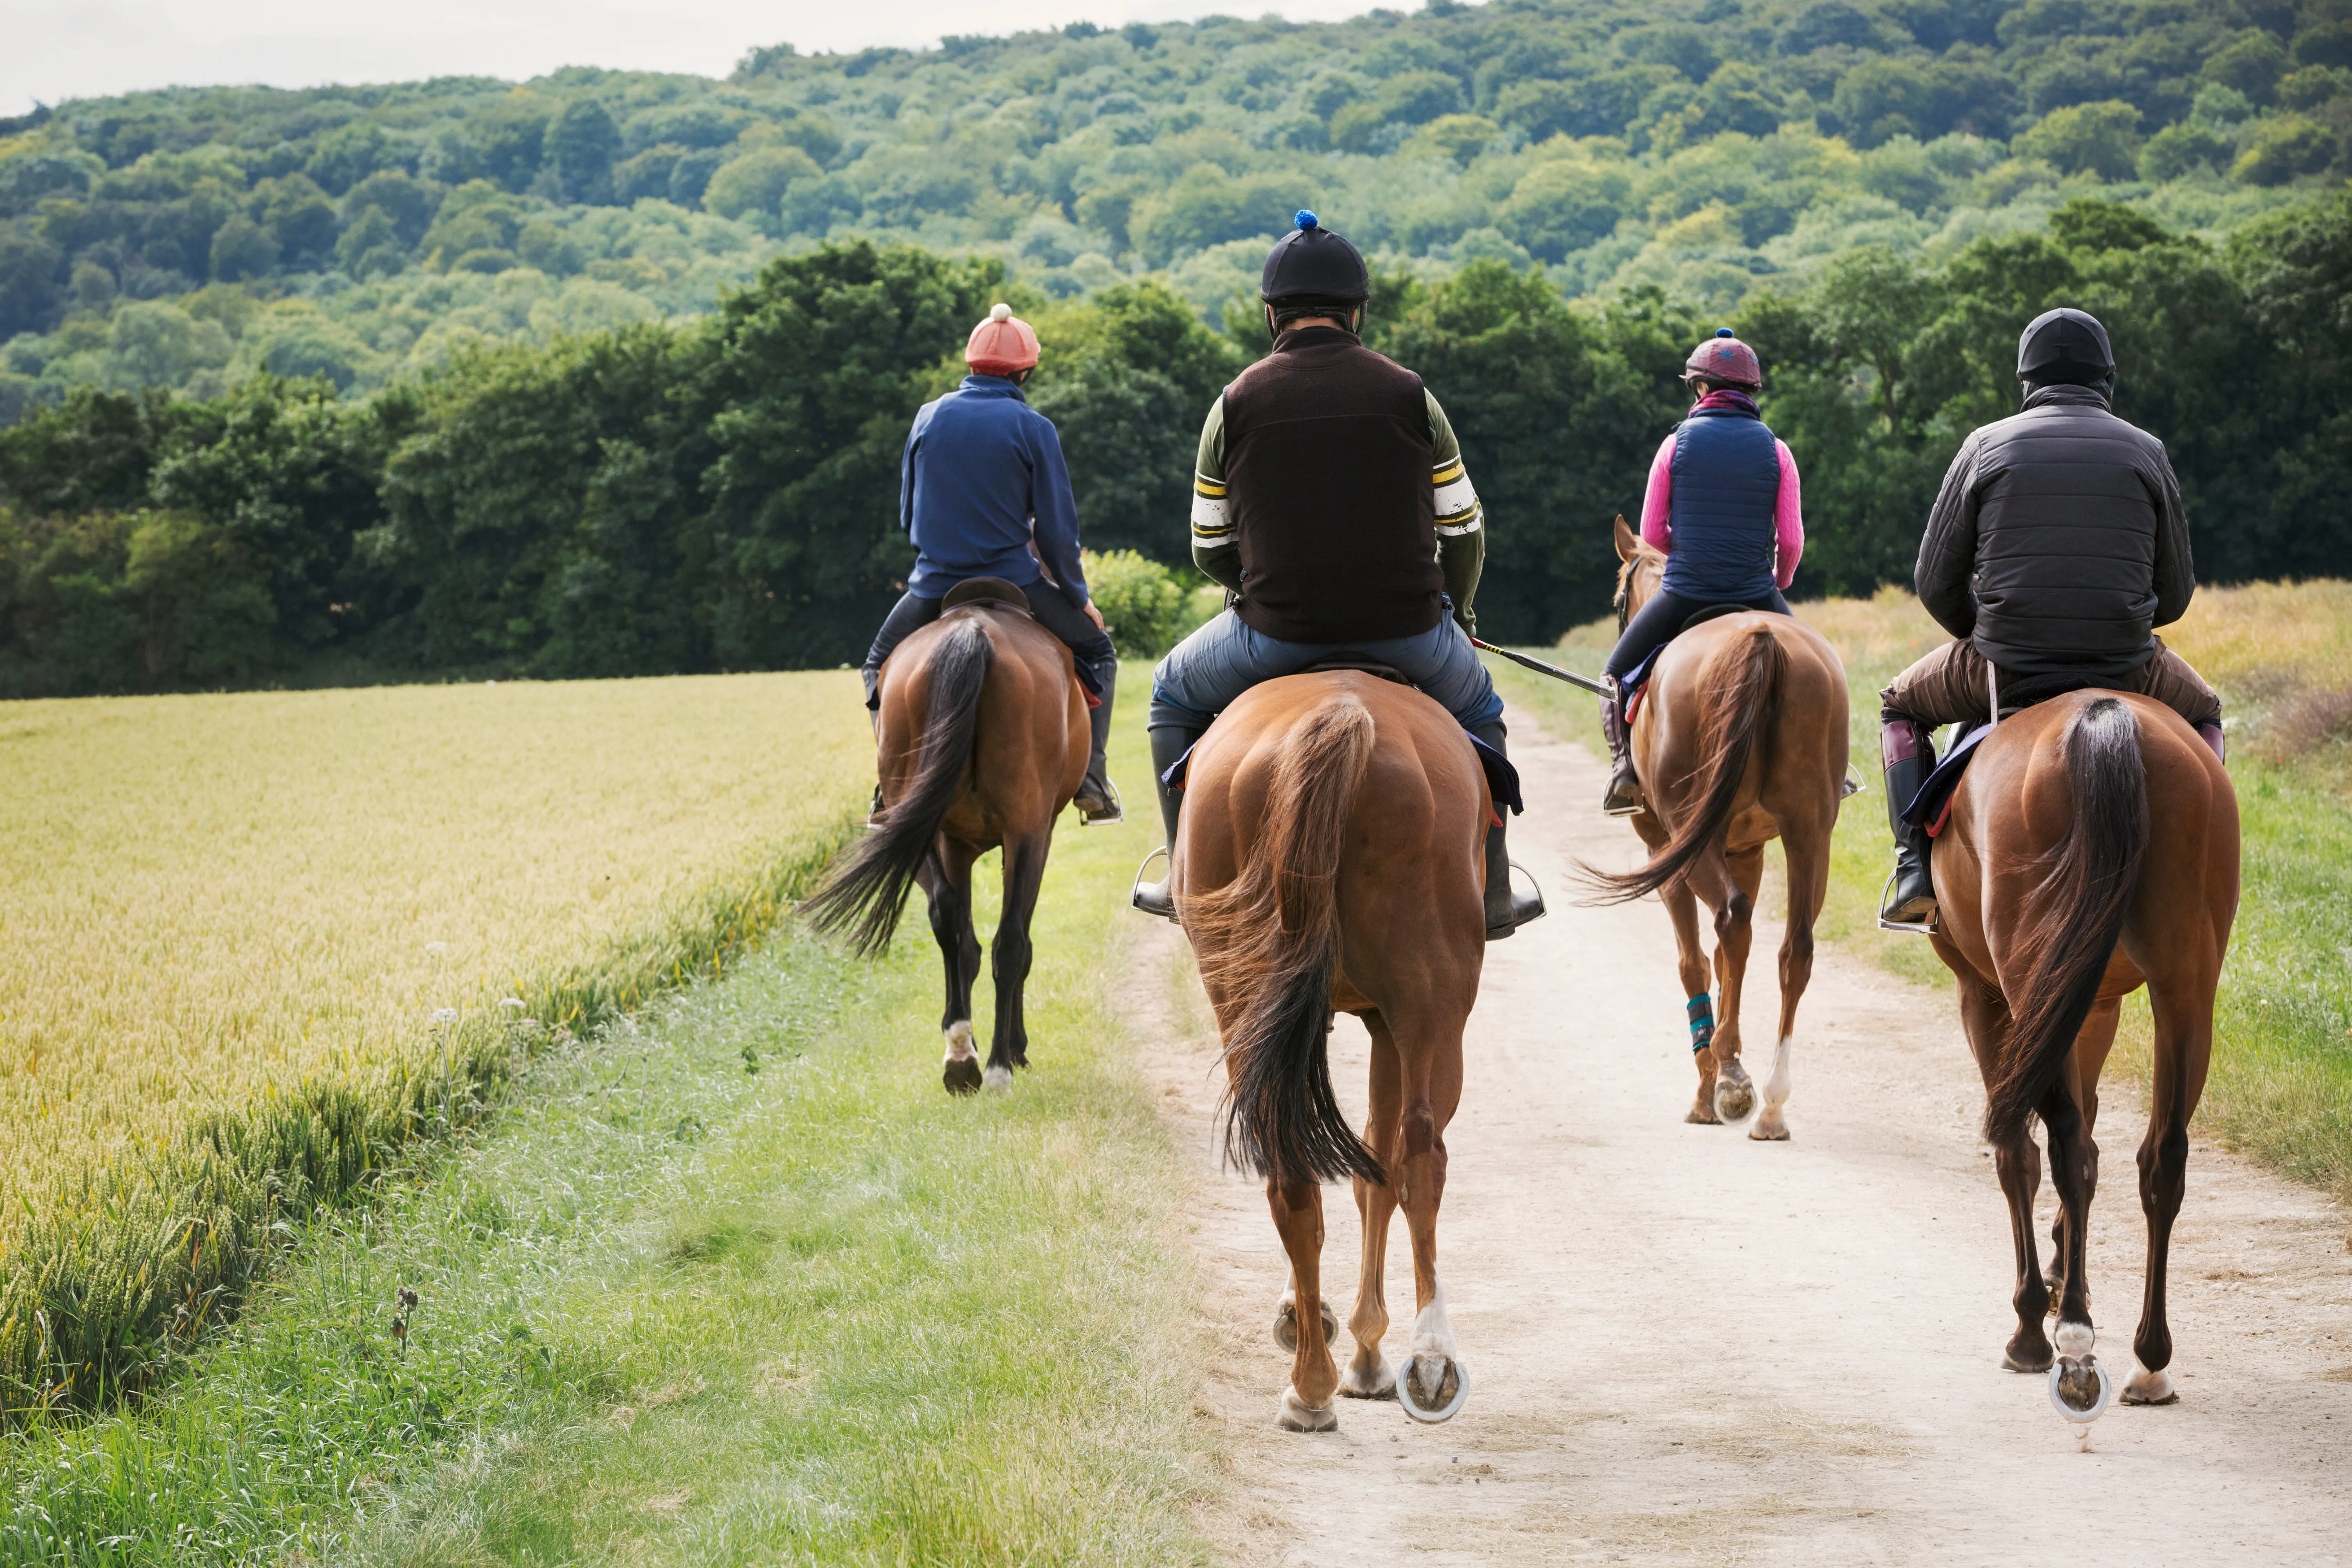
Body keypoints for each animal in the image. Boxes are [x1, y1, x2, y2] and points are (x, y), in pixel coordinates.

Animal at [801, 577, 1089, 1094]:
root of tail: (971, 633)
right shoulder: (1037, 835)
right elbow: (1016, 942)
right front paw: (1014, 1048)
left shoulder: (954, 843)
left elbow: (964, 942)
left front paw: (967, 1044)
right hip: (1025, 826)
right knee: (1008, 941)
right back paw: (996, 1067)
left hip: (922, 816)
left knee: (947, 917)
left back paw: (960, 1057)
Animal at [1176, 669, 1488, 1432]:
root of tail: (1340, 712)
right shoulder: (1379, 1021)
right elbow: (1377, 1169)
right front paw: (1363, 1346)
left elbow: (1367, 1170)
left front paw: (1327, 1326)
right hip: (1428, 1011)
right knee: (1418, 1154)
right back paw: (1425, 1358)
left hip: (1248, 996)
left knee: (1302, 1165)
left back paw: (1314, 1383)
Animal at [1590, 516, 1851, 1138]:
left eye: (1617, 598)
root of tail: (1758, 636)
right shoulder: (1747, 849)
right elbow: (1733, 955)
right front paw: (1733, 1070)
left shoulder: (1665, 849)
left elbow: (1695, 961)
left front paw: (1713, 1081)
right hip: (1810, 833)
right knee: (1791, 947)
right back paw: (1772, 1102)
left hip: (1690, 834)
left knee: (1731, 922)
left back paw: (1723, 1084)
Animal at [1927, 689, 2237, 1414]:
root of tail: (2102, 717)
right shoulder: (2091, 1005)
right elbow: (2092, 1137)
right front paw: (2068, 1263)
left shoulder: (1983, 994)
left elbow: (2019, 1150)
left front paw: (2031, 1313)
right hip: (2185, 984)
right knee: (2161, 1155)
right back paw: (2149, 1360)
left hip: (2025, 978)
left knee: (2060, 1143)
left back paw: (2066, 1338)